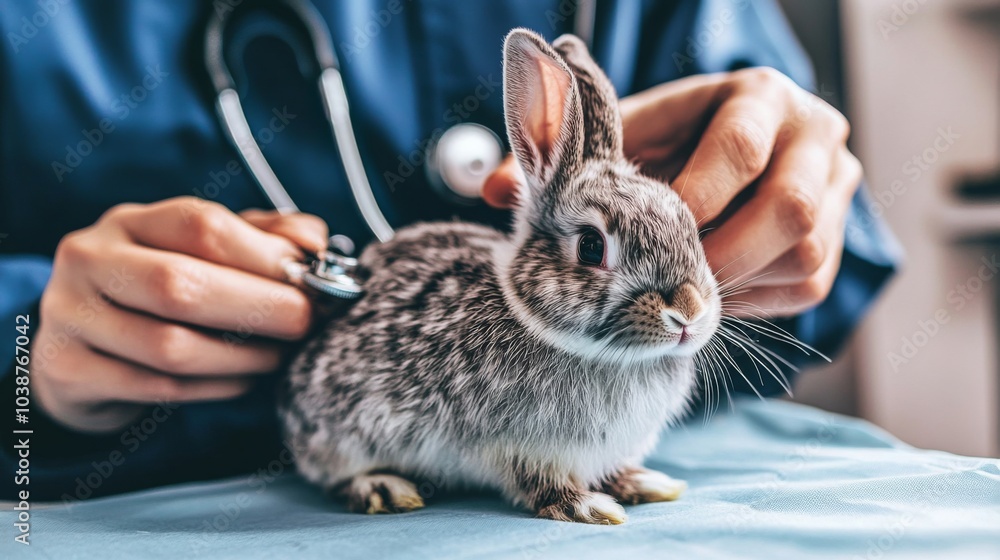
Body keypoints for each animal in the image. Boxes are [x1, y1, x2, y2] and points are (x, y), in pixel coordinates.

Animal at [278, 28, 721, 525]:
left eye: (689, 225)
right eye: (591, 246)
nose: (688, 312)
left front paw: (641, 482)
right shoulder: (518, 448)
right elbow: (542, 484)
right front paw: (587, 506)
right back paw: (383, 488)